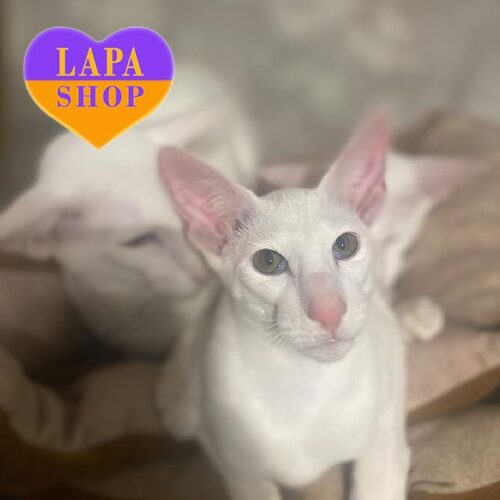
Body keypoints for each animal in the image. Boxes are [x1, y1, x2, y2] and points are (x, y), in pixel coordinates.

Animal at [156, 112, 409, 500]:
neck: (305, 386)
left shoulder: (385, 434)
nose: (329, 311)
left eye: (346, 245)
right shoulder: (239, 470)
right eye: (268, 262)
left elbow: (378, 483)